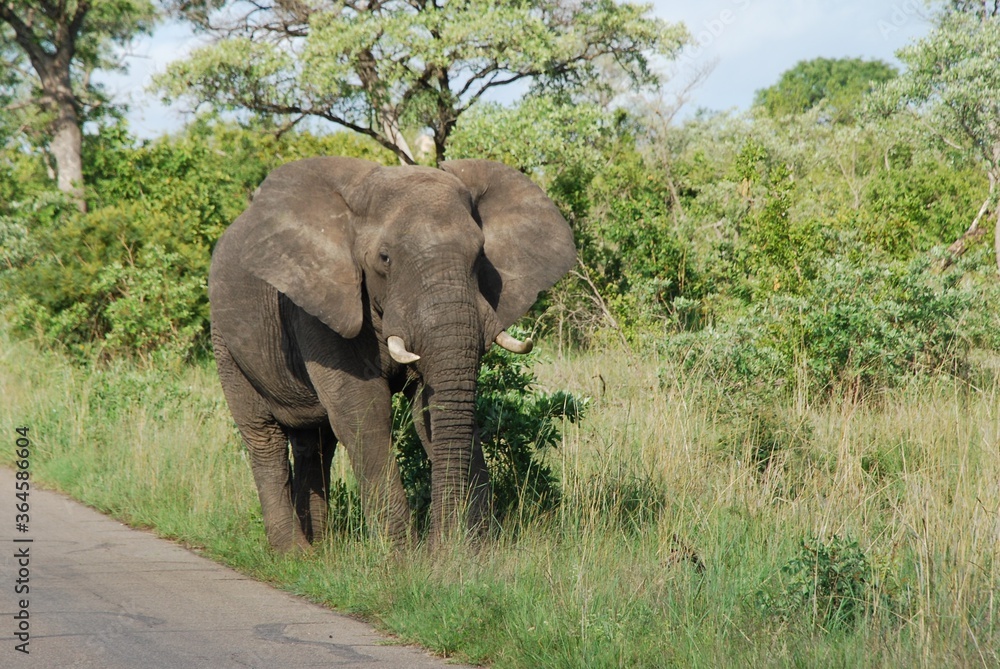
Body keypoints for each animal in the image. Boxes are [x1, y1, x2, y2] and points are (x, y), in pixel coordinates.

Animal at [207, 155, 576, 548]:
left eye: (480, 256)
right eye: (385, 258)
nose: (440, 546)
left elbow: (427, 409)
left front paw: (466, 552)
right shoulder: (315, 303)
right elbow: (362, 409)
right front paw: (404, 558)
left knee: (314, 442)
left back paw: (322, 549)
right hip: (225, 341)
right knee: (263, 437)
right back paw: (295, 553)